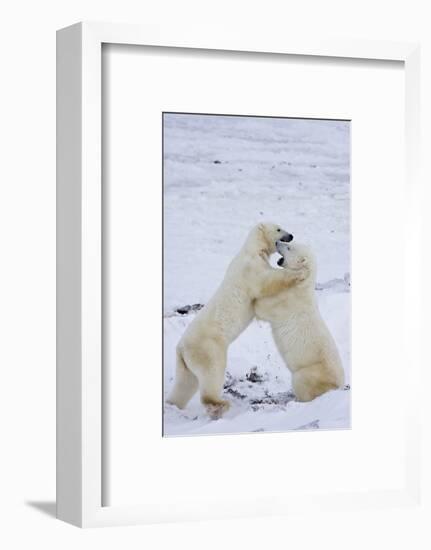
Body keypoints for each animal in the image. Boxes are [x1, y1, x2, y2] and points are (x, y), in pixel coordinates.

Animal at [165, 222, 304, 420]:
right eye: (278, 229)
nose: (291, 235)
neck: (252, 249)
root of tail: (181, 348)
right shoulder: (251, 268)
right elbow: (267, 282)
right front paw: (297, 274)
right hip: (208, 349)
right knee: (212, 374)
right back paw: (220, 404)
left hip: (185, 362)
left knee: (185, 383)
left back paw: (172, 404)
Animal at [255, 244, 346, 404]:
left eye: (289, 247)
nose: (278, 242)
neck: (302, 285)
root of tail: (338, 386)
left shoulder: (287, 301)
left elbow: (264, 307)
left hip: (309, 373)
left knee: (301, 383)